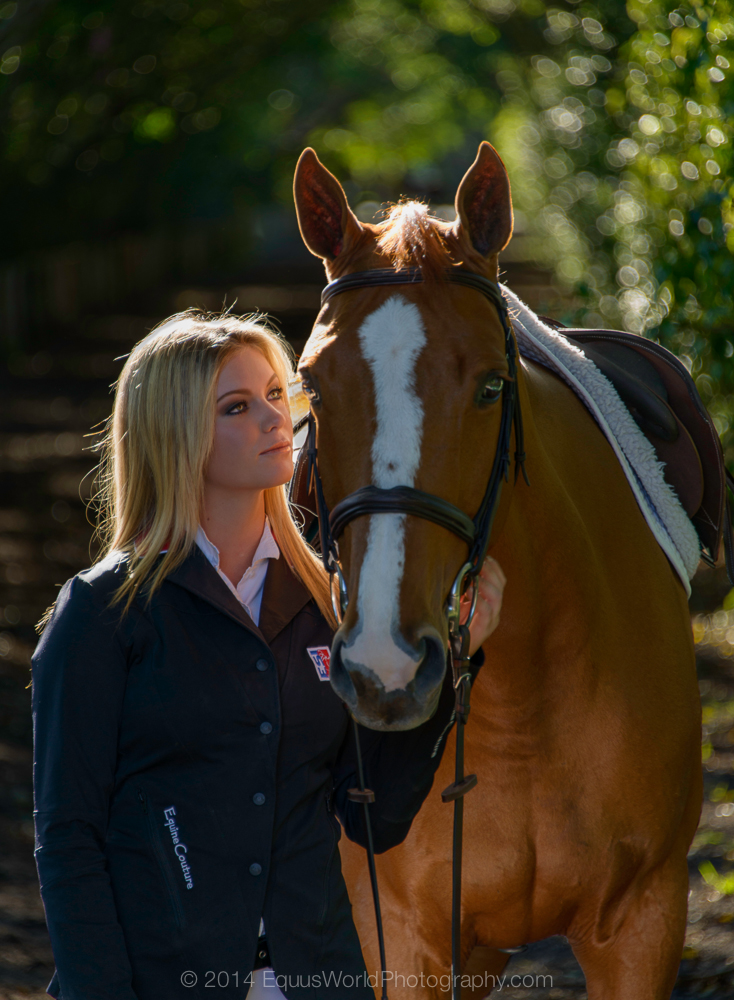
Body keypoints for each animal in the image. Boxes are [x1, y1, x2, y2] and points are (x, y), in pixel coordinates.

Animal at [296, 143, 704, 1000]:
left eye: (491, 386)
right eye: (312, 383)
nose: (386, 666)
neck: (524, 700)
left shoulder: (645, 923)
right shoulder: (408, 940)